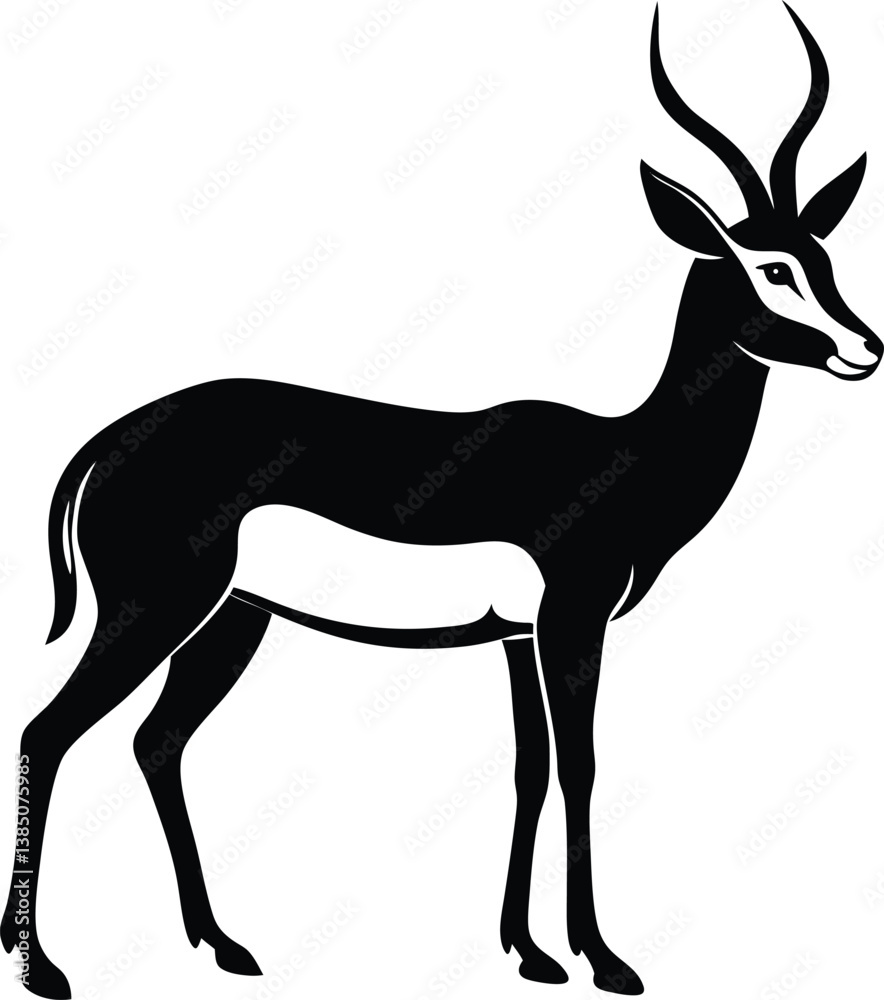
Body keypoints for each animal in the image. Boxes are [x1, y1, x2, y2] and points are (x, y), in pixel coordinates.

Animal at [2, 4, 879, 997]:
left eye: (825, 256)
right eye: (771, 268)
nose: (866, 347)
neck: (627, 451)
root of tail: (108, 440)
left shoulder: (518, 635)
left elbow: (530, 771)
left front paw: (530, 953)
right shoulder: (573, 620)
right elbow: (581, 767)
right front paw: (605, 958)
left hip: (234, 617)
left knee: (156, 742)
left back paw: (222, 944)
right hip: (158, 608)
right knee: (47, 731)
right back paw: (43, 967)